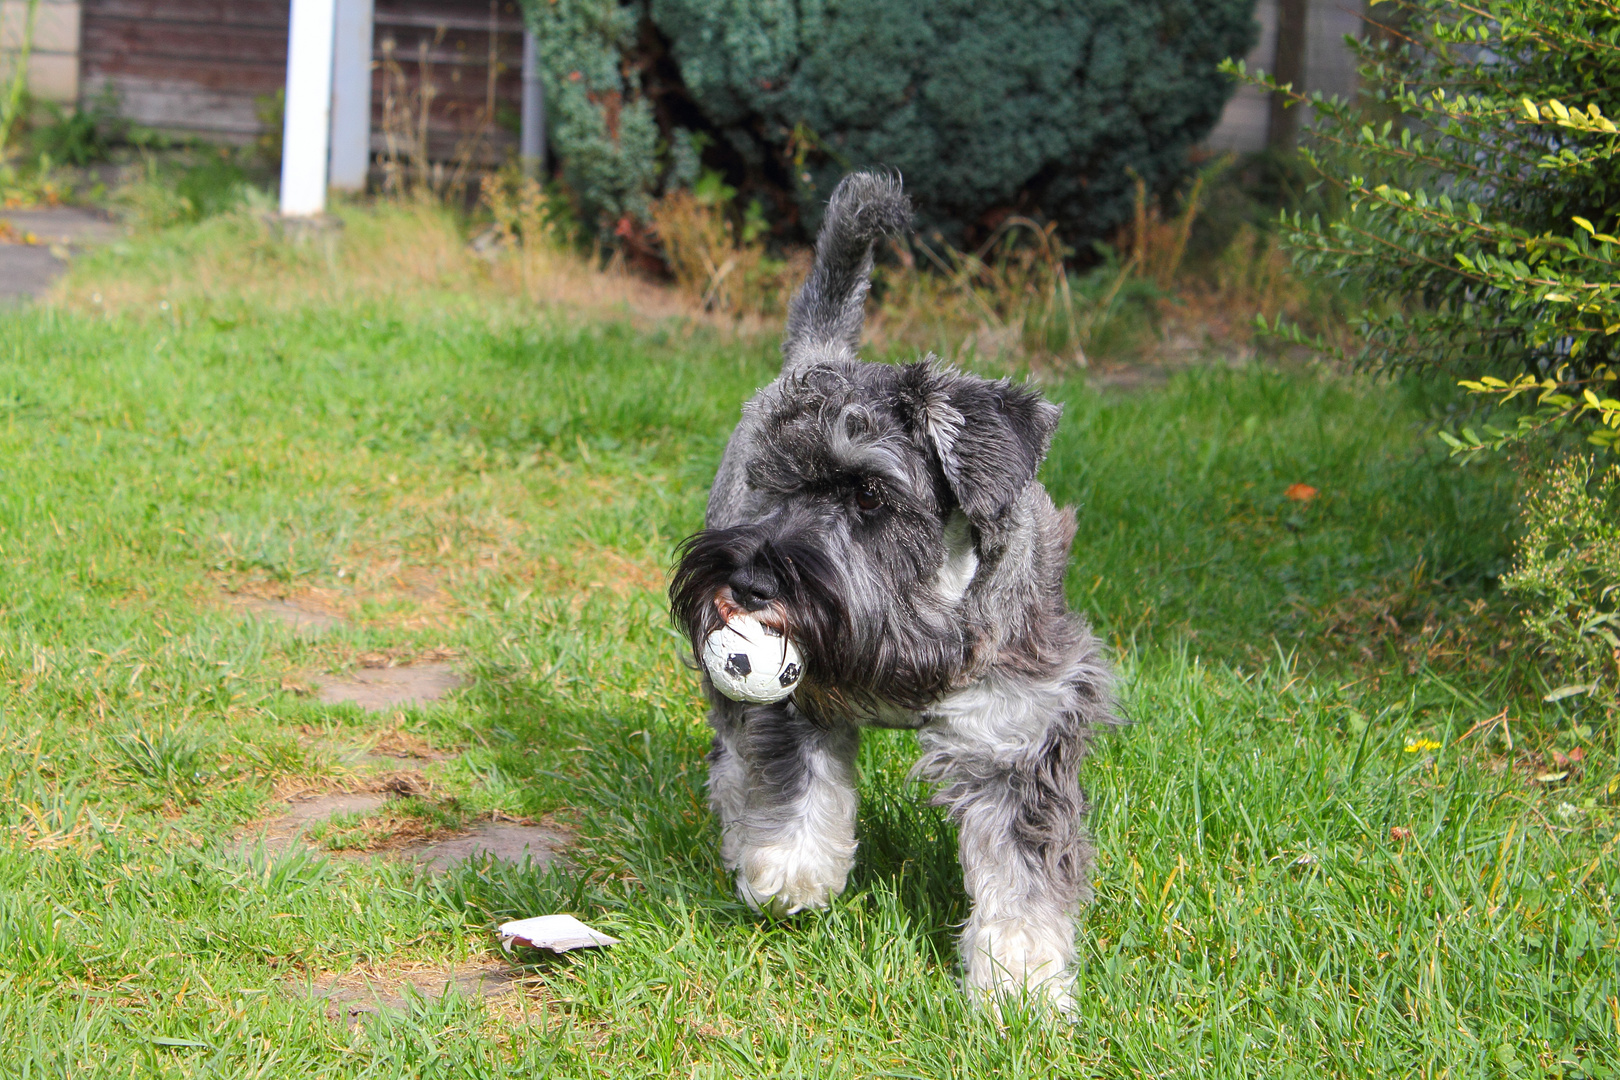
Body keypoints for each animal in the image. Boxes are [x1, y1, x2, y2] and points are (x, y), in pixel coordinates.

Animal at [670, 170, 1114, 1016]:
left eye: (871, 494)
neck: (924, 617)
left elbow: (1021, 867)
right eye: (768, 481)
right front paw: (791, 869)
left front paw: (1021, 983)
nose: (748, 583)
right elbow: (794, 779)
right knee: (731, 749)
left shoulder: (1018, 736)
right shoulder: (794, 697)